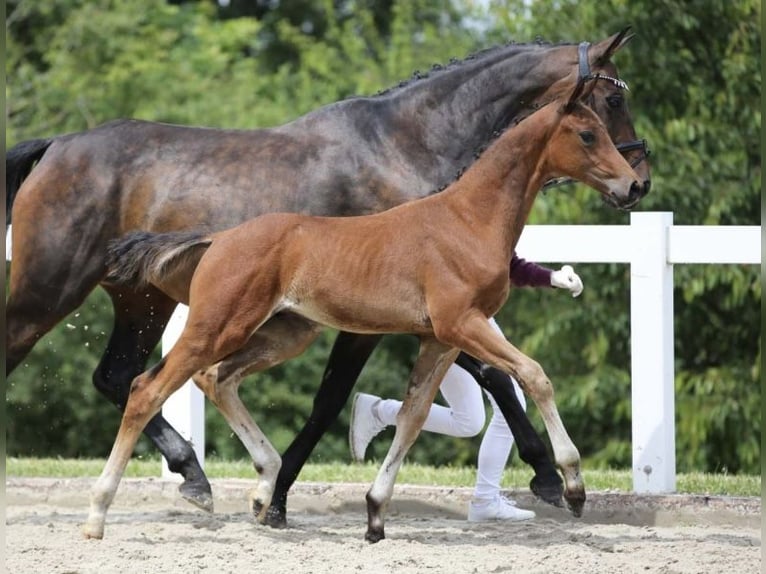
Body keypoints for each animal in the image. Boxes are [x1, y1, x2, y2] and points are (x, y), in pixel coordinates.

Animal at [9, 29, 652, 528]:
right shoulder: (397, 317)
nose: (639, 181)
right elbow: (352, 395)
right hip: (50, 294)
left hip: (144, 302)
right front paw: (552, 476)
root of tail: (57, 144)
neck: (405, 144)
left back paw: (194, 476)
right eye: (608, 103)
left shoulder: (413, 317)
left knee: (120, 376)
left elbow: (461, 385)